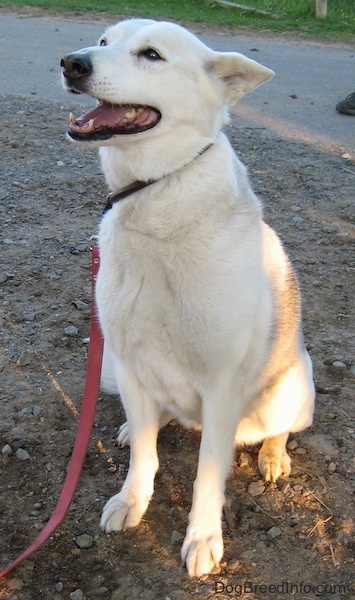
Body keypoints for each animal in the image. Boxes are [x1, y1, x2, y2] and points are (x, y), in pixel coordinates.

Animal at [61, 19, 314, 576]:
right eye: (104, 41)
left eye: (152, 55)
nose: (71, 62)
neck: (154, 191)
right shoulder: (130, 365)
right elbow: (145, 457)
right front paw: (132, 500)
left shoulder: (221, 386)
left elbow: (207, 476)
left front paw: (202, 538)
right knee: (154, 422)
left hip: (292, 390)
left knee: (279, 428)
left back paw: (273, 455)